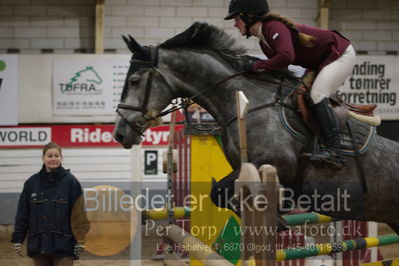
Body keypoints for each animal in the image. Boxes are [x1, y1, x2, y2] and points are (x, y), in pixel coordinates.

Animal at [111, 23, 399, 235]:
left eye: (134, 81)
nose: (119, 133)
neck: (244, 101)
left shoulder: (275, 163)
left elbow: (223, 192)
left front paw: (276, 216)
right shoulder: (243, 166)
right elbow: (220, 193)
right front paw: (277, 218)